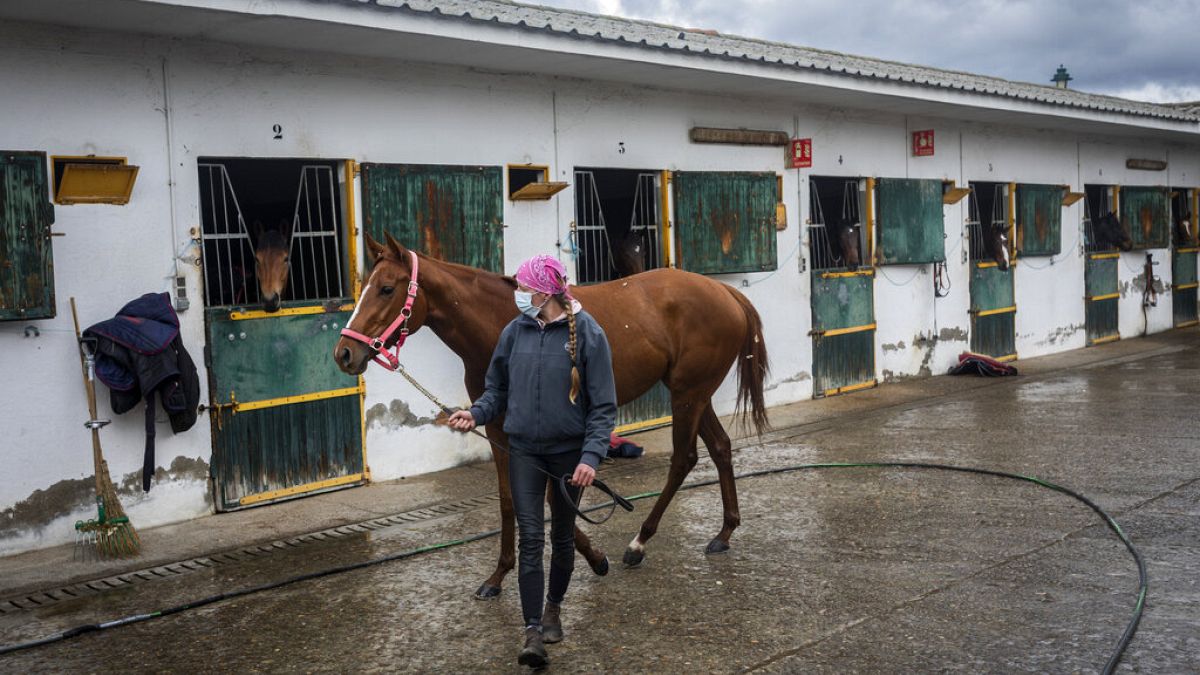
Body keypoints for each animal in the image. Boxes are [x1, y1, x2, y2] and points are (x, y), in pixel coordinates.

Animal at [338, 234, 768, 595]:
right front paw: (498, 576)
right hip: (695, 393)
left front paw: (596, 558)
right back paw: (724, 533)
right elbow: (509, 499)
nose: (344, 353)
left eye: (387, 288)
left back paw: (639, 543)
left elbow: (552, 495)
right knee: (720, 447)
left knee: (684, 458)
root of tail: (724, 291)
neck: (503, 324)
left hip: (688, 395)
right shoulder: (498, 427)